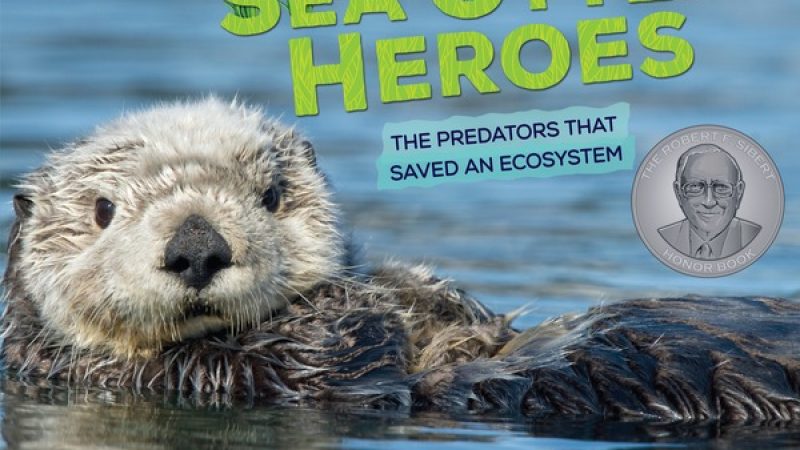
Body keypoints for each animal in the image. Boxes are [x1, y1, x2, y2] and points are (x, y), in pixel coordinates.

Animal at [2, 98, 799, 424]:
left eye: (271, 195)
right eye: (104, 210)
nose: (197, 247)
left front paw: (423, 289)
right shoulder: (232, 374)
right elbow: (347, 344)